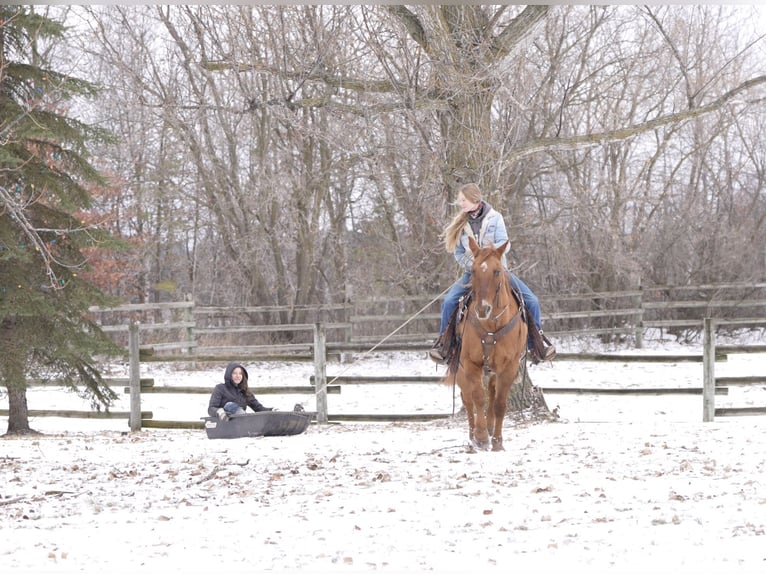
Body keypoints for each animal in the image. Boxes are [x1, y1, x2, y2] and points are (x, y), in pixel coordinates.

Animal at [450, 236, 528, 452]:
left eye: (497, 271)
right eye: (473, 270)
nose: (483, 309)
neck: (491, 325)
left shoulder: (509, 367)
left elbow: (499, 403)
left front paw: (498, 442)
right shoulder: (470, 364)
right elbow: (478, 398)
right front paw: (482, 437)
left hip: (493, 371)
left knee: (492, 394)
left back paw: (491, 427)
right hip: (461, 371)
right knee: (468, 399)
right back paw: (473, 435)